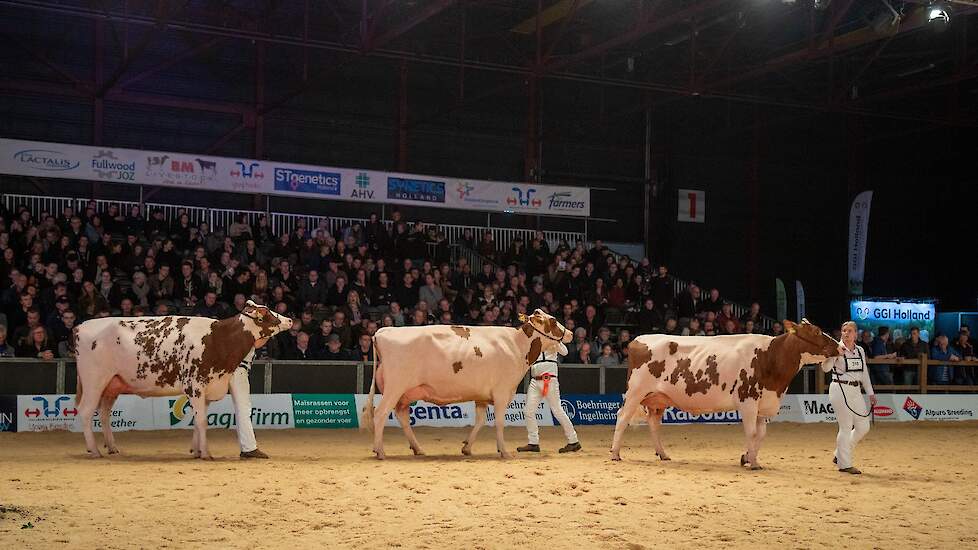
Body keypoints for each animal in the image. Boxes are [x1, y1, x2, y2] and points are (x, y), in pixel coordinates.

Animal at [73, 302, 290, 462]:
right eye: (267, 312)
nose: (289, 319)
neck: (218, 339)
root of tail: (80, 326)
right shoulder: (195, 385)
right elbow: (202, 421)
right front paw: (206, 453)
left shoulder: (206, 389)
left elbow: (198, 421)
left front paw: (196, 451)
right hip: (94, 381)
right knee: (86, 412)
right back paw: (94, 450)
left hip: (112, 385)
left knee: (104, 414)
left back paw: (112, 448)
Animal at [358, 310, 572, 462]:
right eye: (553, 321)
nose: (569, 333)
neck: (516, 345)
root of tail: (383, 331)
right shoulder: (502, 392)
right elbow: (499, 422)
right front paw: (504, 452)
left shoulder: (482, 396)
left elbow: (480, 421)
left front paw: (467, 447)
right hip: (395, 387)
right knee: (380, 414)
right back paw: (380, 451)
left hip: (406, 392)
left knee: (401, 415)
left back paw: (417, 449)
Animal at [612, 320, 836, 470]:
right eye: (817, 330)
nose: (841, 347)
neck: (769, 357)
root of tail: (639, 339)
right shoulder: (748, 401)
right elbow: (751, 433)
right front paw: (753, 463)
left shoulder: (763, 405)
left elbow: (761, 434)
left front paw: (748, 458)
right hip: (635, 392)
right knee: (622, 417)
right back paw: (615, 453)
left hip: (658, 399)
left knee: (654, 424)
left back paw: (663, 454)